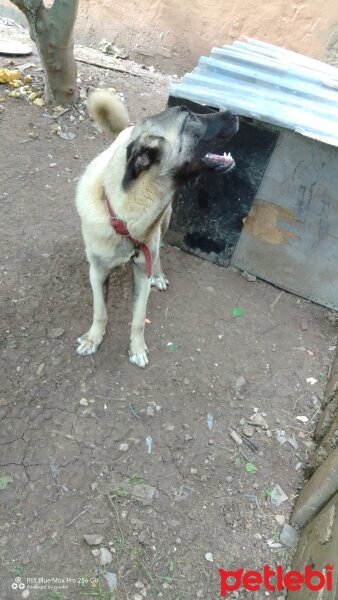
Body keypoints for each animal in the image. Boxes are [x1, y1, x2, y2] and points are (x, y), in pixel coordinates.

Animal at [74, 91, 238, 368]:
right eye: (190, 117)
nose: (236, 113)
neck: (125, 216)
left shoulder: (142, 270)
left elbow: (139, 319)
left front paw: (137, 348)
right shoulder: (96, 272)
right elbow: (100, 311)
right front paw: (93, 338)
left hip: (165, 222)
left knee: (159, 249)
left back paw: (159, 275)